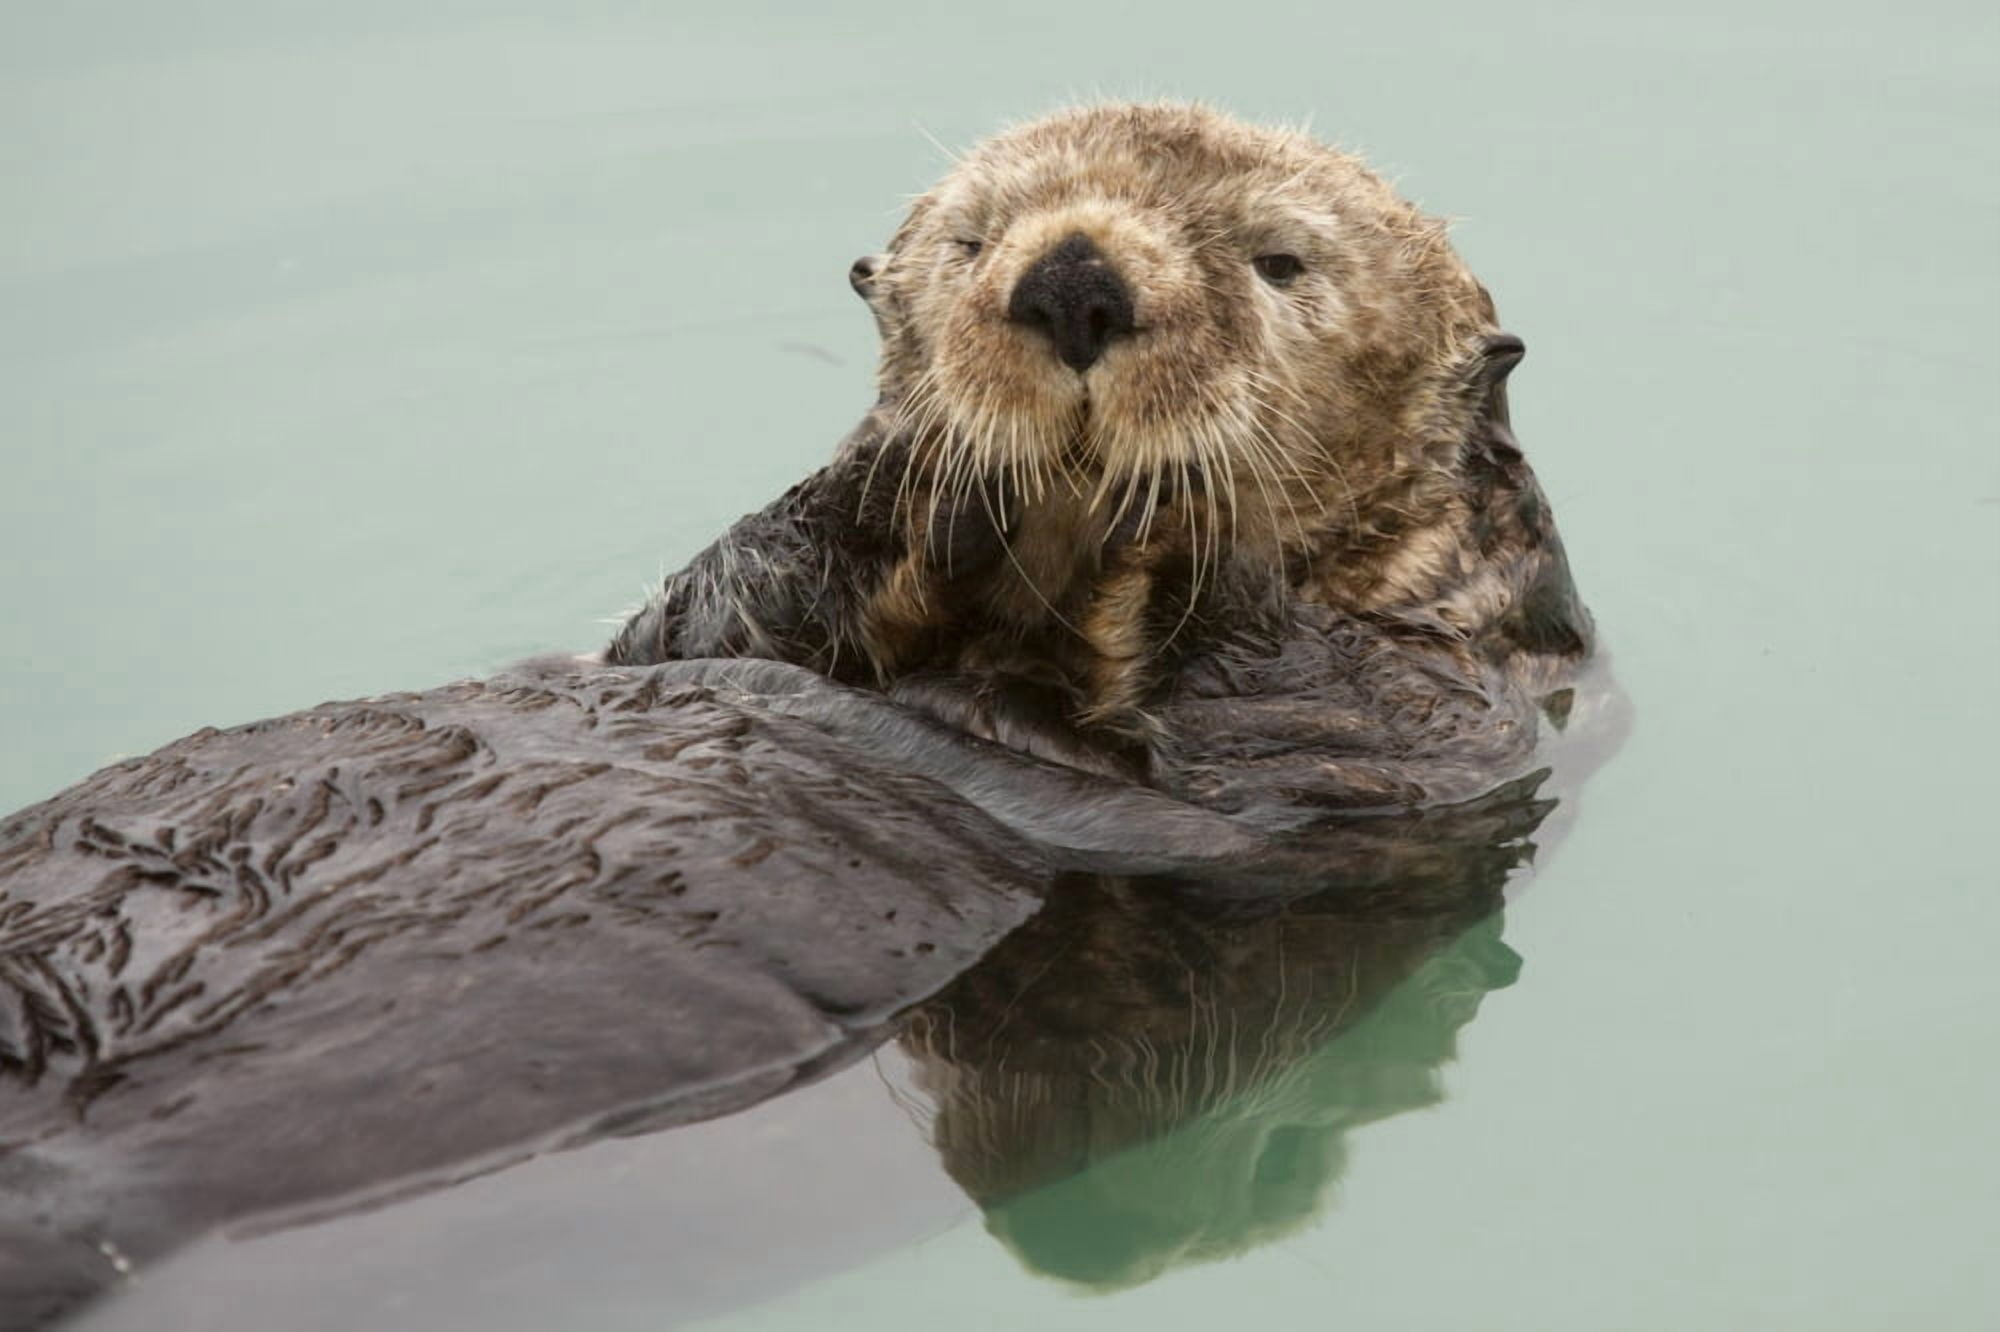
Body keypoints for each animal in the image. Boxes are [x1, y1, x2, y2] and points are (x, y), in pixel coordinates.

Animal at [607, 102, 1592, 814]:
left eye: (1280, 261)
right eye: (970, 241)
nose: (1073, 277)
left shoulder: (1447, 712)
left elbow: (1316, 723)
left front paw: (1164, 526)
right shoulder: (691, 638)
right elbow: (681, 629)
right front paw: (901, 472)